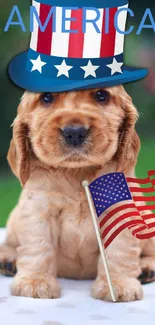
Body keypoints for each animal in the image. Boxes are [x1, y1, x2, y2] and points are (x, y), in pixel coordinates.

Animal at [0, 86, 155, 302]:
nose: (74, 132)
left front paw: (118, 284)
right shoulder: (38, 208)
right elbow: (38, 245)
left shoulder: (119, 207)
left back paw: (146, 267)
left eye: (101, 95)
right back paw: (8, 259)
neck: (77, 172)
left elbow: (118, 250)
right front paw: (35, 282)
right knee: (11, 242)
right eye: (46, 97)